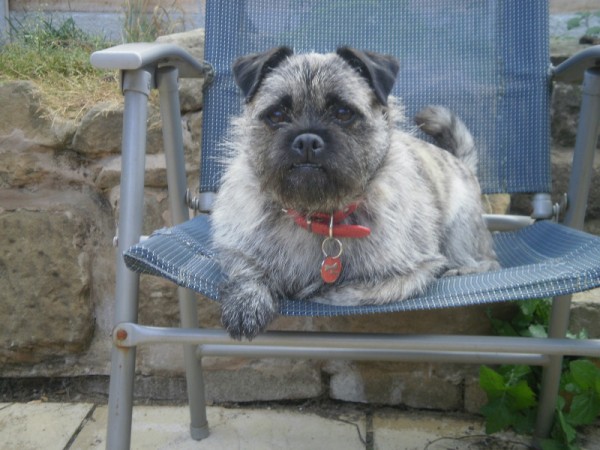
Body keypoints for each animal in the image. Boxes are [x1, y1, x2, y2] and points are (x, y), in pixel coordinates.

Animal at [209, 47, 500, 340]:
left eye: (343, 112)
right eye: (277, 114)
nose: (307, 140)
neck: (319, 215)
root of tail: (463, 163)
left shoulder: (413, 273)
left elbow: (348, 292)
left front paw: (314, 290)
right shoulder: (236, 250)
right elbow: (246, 268)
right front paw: (248, 300)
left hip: (458, 231)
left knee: (489, 262)